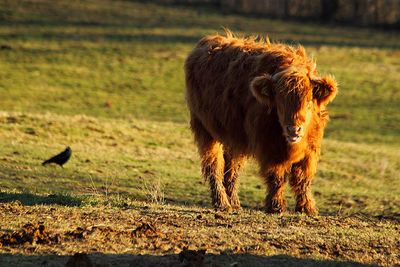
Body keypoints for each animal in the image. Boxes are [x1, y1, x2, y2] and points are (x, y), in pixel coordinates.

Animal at [184, 31, 338, 216]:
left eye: (308, 101)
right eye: (280, 103)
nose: (294, 129)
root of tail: (208, 41)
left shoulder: (310, 150)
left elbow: (303, 179)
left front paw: (307, 208)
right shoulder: (269, 147)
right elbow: (277, 177)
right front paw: (276, 206)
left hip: (235, 137)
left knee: (232, 170)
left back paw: (234, 203)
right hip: (205, 129)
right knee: (214, 166)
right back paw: (222, 204)